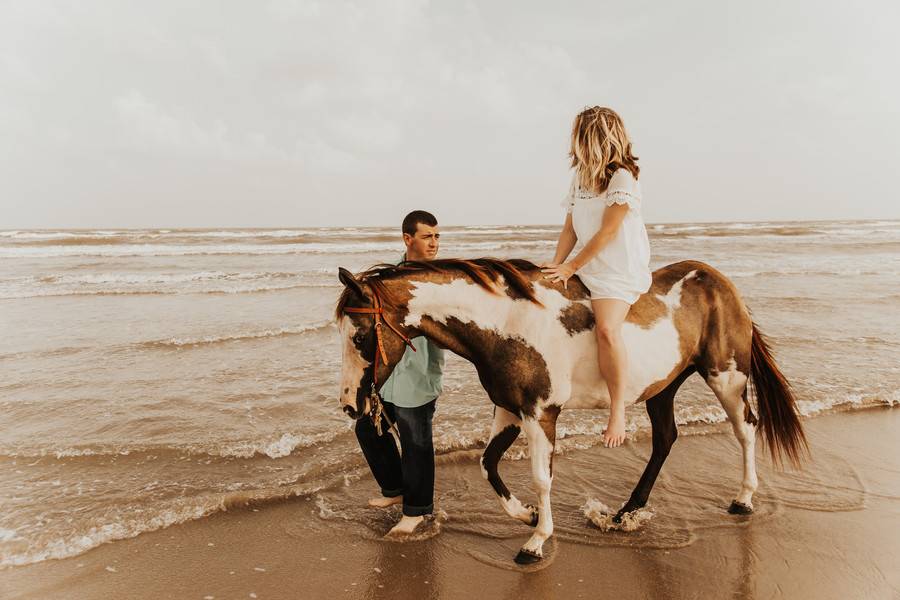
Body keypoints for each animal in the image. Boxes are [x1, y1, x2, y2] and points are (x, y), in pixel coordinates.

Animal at [336, 258, 808, 564]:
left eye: (360, 336)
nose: (350, 404)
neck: (508, 323)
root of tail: (719, 281)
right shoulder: (508, 410)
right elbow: (488, 464)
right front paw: (525, 514)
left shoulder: (540, 414)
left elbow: (542, 477)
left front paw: (536, 541)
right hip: (663, 386)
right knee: (665, 439)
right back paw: (625, 512)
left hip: (725, 376)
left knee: (746, 428)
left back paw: (743, 499)